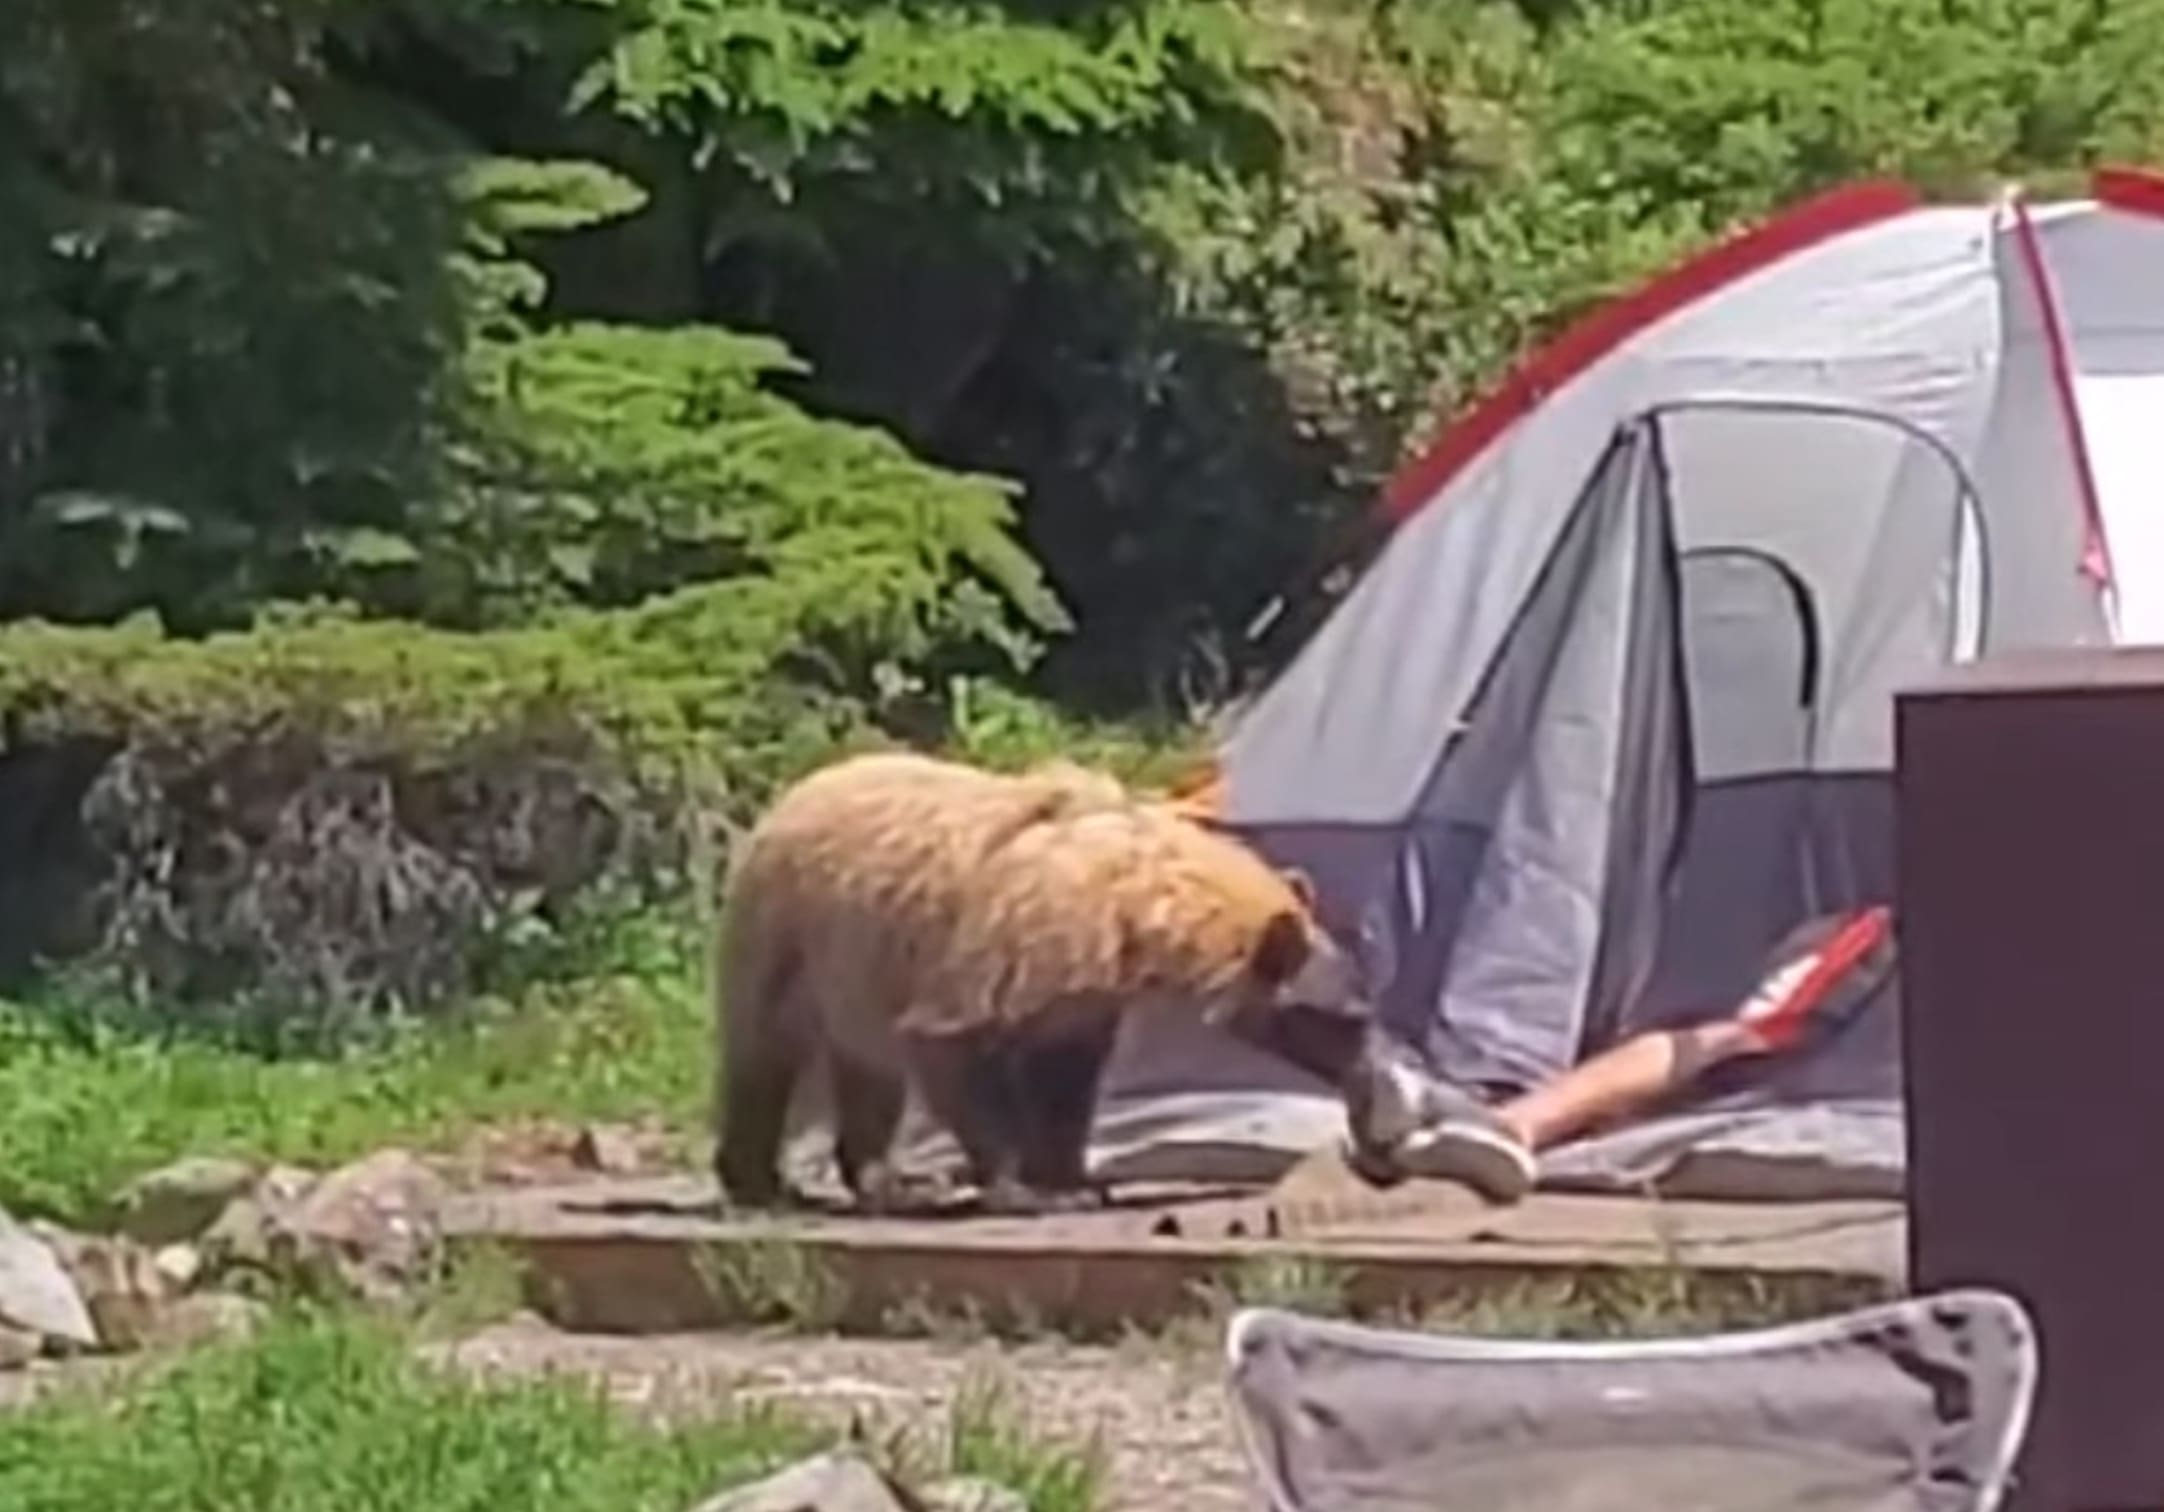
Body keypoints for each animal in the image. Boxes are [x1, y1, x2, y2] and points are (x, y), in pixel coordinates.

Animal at [710, 749, 1374, 1217]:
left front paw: (1072, 1181)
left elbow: (1066, 1076)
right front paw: (1022, 1187)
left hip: (857, 972)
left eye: (1359, 1008)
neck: (1135, 906)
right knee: (765, 1057)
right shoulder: (1017, 941)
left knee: (868, 1071)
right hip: (789, 936)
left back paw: (888, 1182)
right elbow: (957, 1047)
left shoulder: (1082, 983)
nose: (1372, 1090)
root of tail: (790, 796)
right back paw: (762, 1182)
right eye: (1344, 1019)